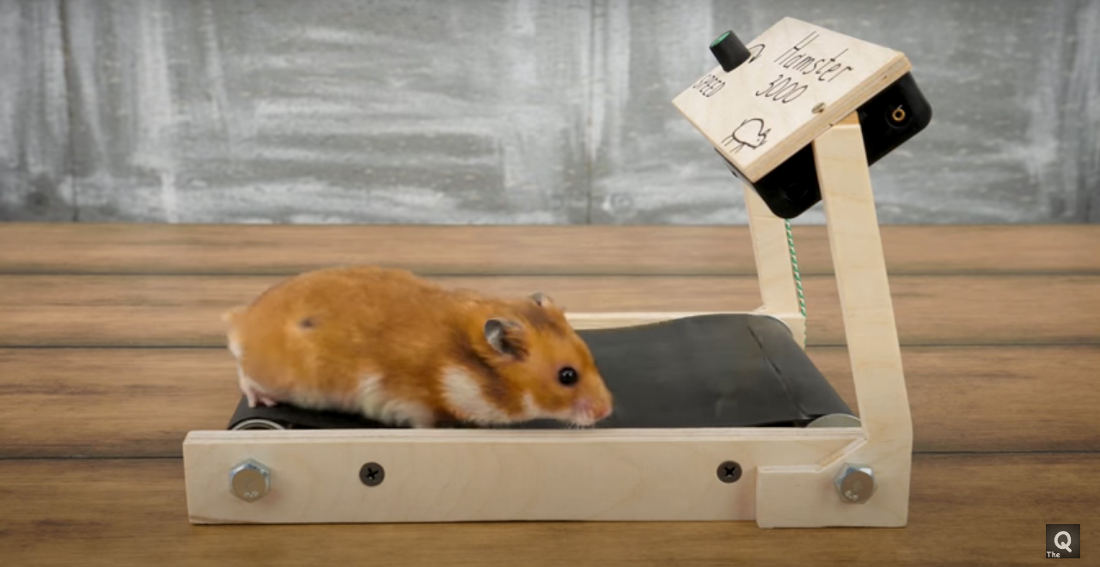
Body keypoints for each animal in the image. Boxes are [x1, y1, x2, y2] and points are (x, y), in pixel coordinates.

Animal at [224, 268, 616, 429]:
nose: (607, 411)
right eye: (567, 376)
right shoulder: (413, 405)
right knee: (242, 368)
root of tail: (243, 316)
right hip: (277, 374)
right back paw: (261, 400)